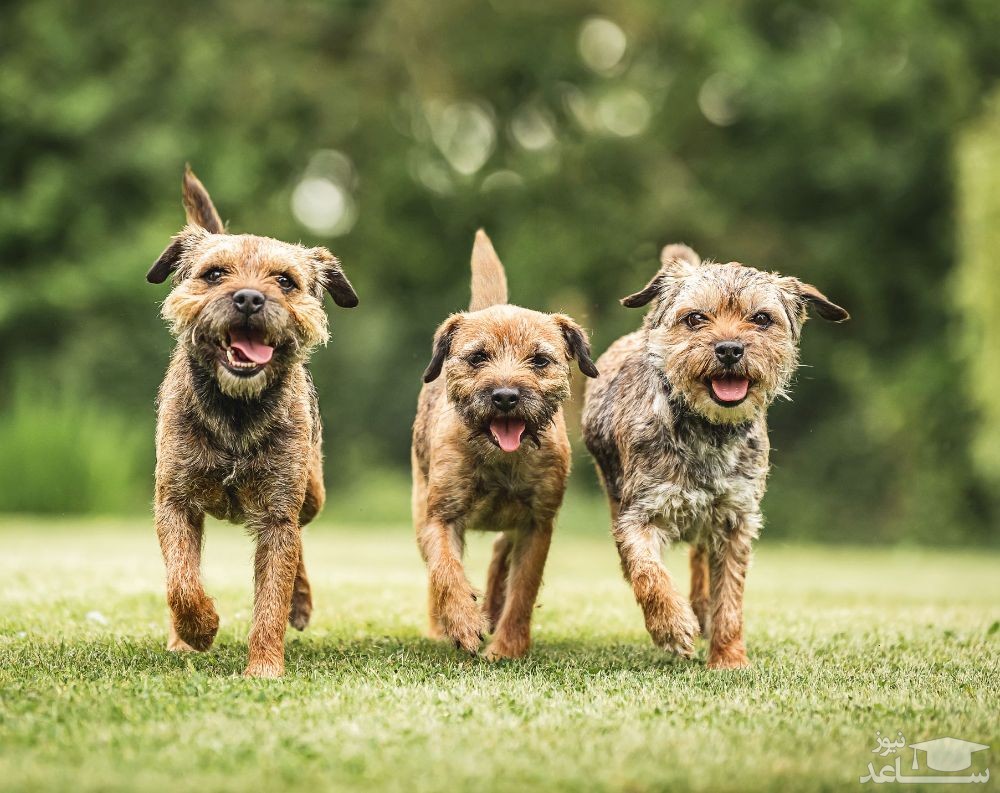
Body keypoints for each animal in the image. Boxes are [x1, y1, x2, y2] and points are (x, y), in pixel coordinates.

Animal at [145, 166, 356, 676]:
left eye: (285, 281)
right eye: (214, 274)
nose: (248, 298)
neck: (236, 414)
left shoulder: (278, 514)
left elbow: (271, 599)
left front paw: (263, 669)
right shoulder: (174, 503)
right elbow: (181, 581)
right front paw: (198, 629)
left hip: (311, 494)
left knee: (300, 544)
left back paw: (301, 602)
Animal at [410, 232, 596, 660]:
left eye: (539, 360)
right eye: (478, 357)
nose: (506, 396)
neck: (500, 460)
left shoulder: (536, 525)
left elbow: (523, 588)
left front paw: (508, 646)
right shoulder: (439, 517)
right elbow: (445, 570)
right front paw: (463, 622)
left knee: (500, 557)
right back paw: (443, 625)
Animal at [584, 243, 848, 668]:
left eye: (761, 318)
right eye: (695, 318)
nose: (729, 348)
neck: (709, 431)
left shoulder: (735, 520)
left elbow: (730, 597)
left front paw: (728, 658)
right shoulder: (639, 513)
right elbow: (647, 571)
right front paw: (672, 625)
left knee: (700, 560)